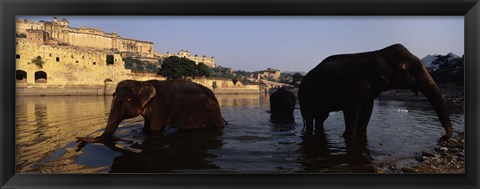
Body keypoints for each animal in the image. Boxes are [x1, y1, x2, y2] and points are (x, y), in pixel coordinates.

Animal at [77, 79, 227, 142]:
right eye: (113, 95)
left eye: (120, 102)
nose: (78, 138)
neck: (141, 82)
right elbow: (146, 127)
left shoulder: (159, 106)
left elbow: (156, 128)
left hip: (212, 111)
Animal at [298, 43, 452, 140]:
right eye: (412, 66)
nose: (444, 137)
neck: (378, 52)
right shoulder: (354, 84)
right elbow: (351, 110)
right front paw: (348, 137)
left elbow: (367, 110)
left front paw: (360, 137)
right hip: (305, 96)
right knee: (310, 118)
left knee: (321, 118)